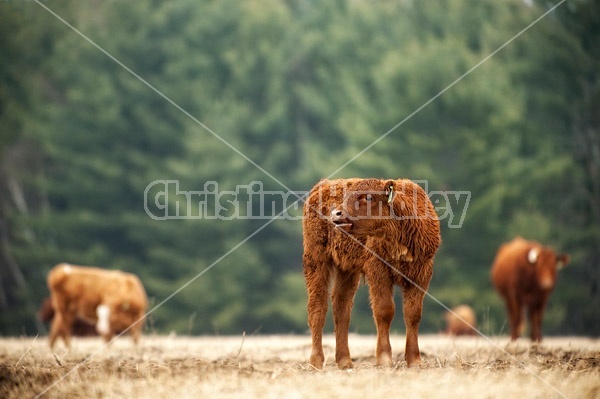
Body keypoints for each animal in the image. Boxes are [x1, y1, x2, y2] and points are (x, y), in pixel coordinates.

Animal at [304, 178, 440, 368]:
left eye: (368, 197)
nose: (336, 214)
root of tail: (323, 184)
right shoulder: (378, 270)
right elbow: (385, 310)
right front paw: (384, 359)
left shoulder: (421, 274)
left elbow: (413, 314)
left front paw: (414, 360)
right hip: (316, 260)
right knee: (318, 307)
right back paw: (316, 362)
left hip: (347, 270)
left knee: (342, 307)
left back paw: (345, 362)